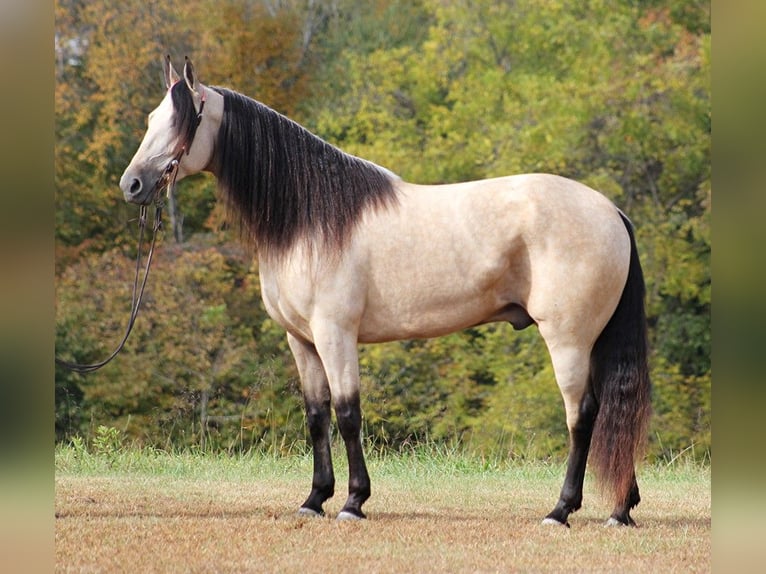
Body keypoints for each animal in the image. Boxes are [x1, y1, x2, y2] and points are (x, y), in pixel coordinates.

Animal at [121, 56, 656, 528]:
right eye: (151, 118)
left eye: (182, 120)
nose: (132, 185)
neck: (312, 218)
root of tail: (611, 212)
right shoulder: (302, 341)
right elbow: (316, 416)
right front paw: (314, 500)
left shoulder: (335, 334)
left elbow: (348, 413)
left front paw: (353, 502)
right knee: (612, 410)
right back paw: (620, 509)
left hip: (569, 340)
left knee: (582, 416)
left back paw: (560, 510)